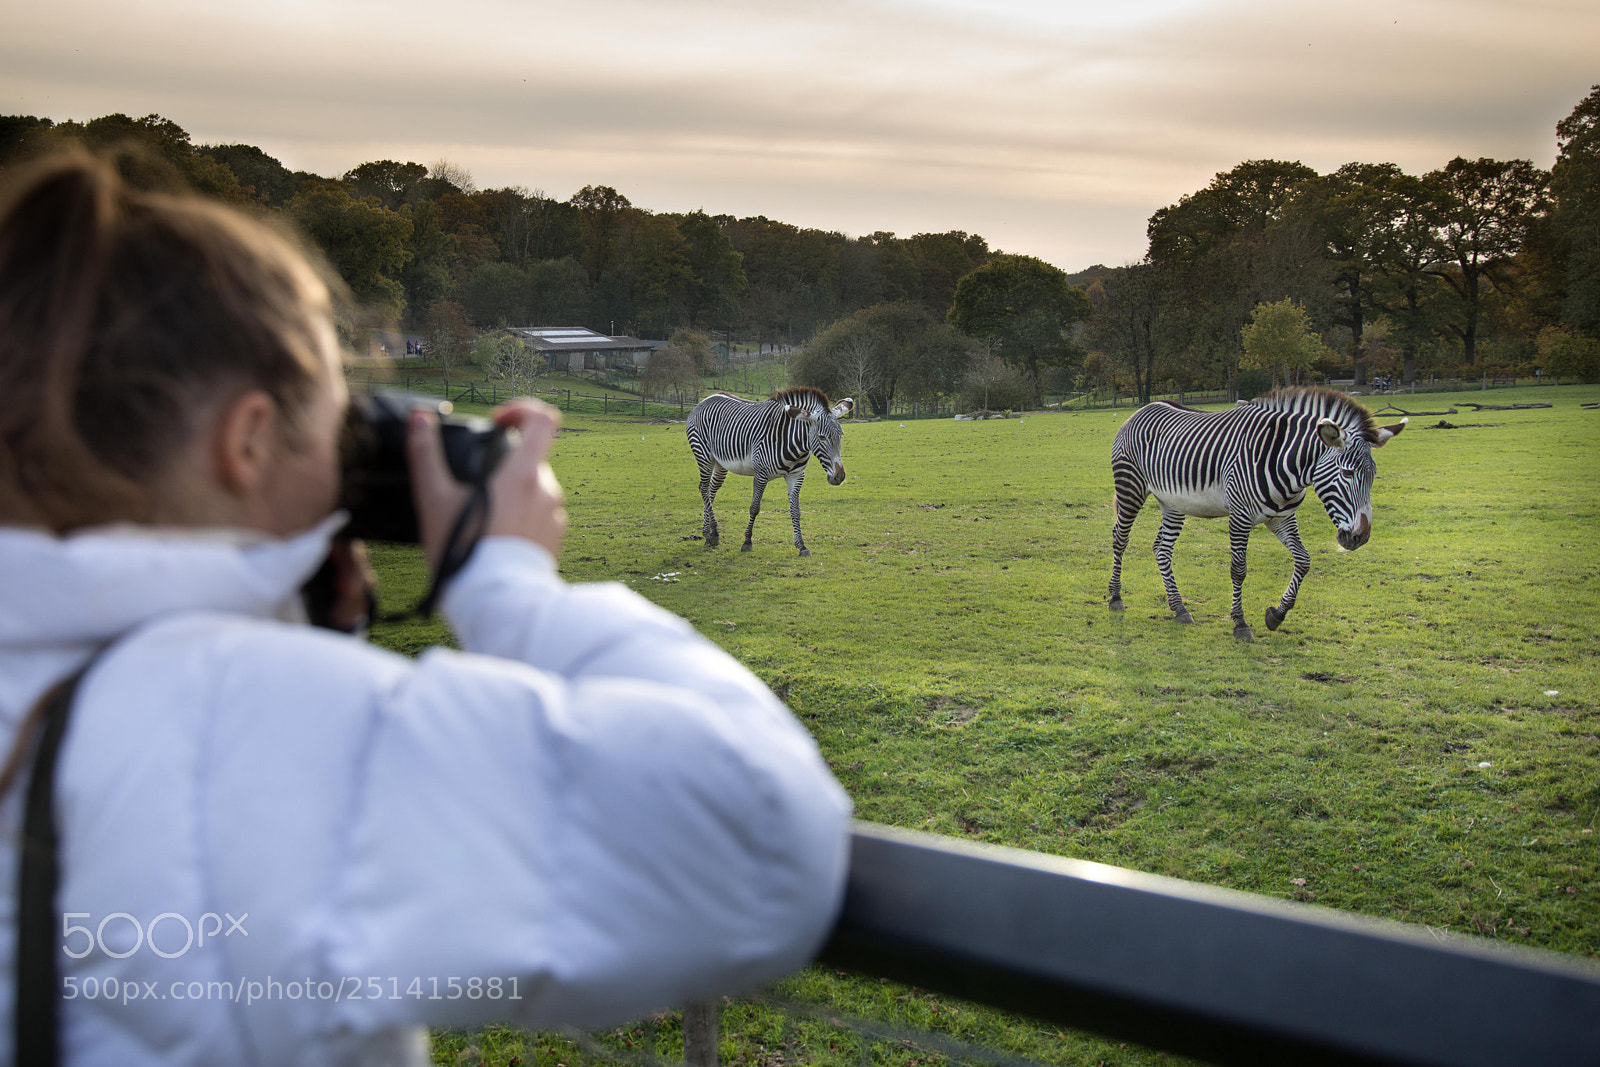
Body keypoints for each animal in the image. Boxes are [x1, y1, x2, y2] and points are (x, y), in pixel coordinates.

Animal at [686, 387, 854, 556]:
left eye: (841, 435)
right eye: (822, 437)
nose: (839, 476)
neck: (791, 442)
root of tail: (706, 400)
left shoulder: (796, 476)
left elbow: (795, 511)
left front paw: (801, 546)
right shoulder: (761, 474)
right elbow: (754, 508)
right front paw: (747, 541)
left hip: (719, 463)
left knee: (710, 491)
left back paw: (708, 532)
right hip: (703, 455)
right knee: (704, 489)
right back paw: (713, 533)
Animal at [1107, 386, 1407, 640]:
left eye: (1373, 476)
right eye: (1347, 473)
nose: (1360, 537)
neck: (1287, 463)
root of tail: (1142, 410)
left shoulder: (1282, 519)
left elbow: (1304, 560)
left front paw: (1276, 615)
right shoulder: (1239, 517)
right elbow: (1239, 569)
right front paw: (1240, 623)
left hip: (1173, 502)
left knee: (1162, 548)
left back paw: (1179, 607)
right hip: (1130, 487)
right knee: (1120, 539)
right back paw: (1115, 597)